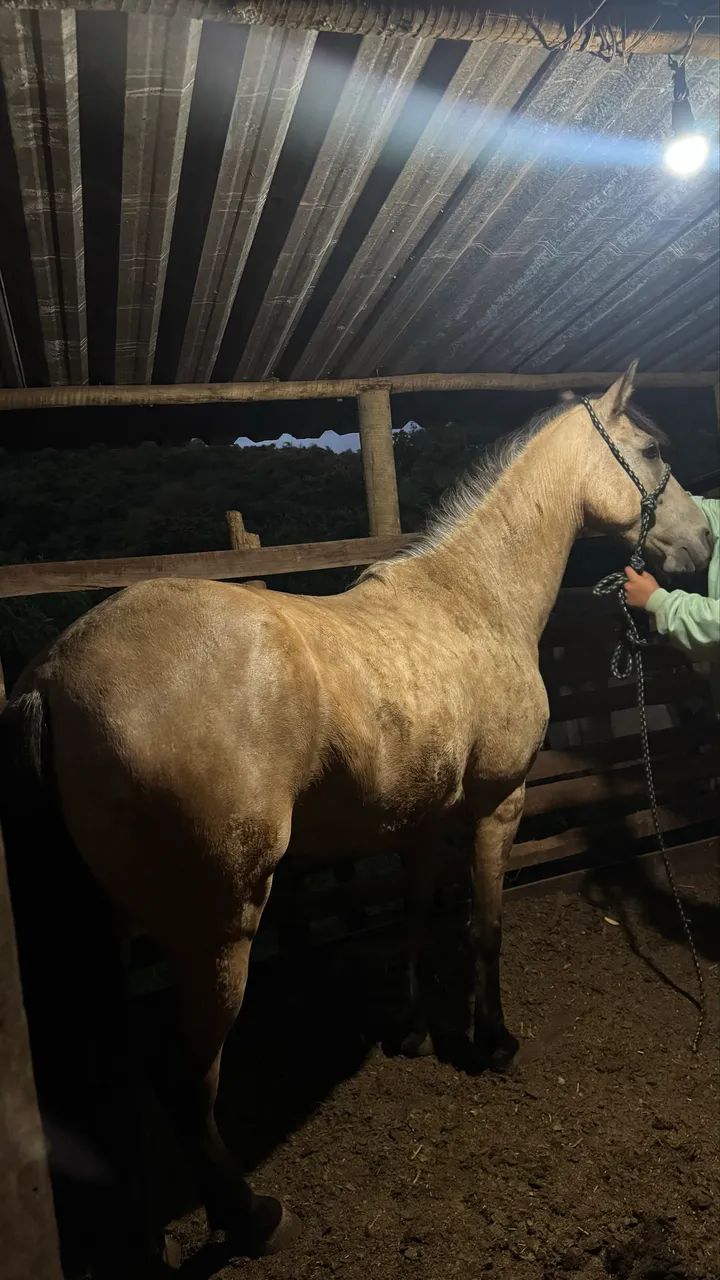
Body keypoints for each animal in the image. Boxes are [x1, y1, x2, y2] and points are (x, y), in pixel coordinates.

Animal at [0, 364, 711, 1265]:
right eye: (652, 452)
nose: (702, 543)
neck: (476, 600)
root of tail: (51, 675)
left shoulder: (418, 821)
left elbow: (410, 918)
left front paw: (408, 1031)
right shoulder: (498, 805)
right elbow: (484, 927)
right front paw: (493, 1042)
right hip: (217, 926)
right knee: (187, 1078)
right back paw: (250, 1218)